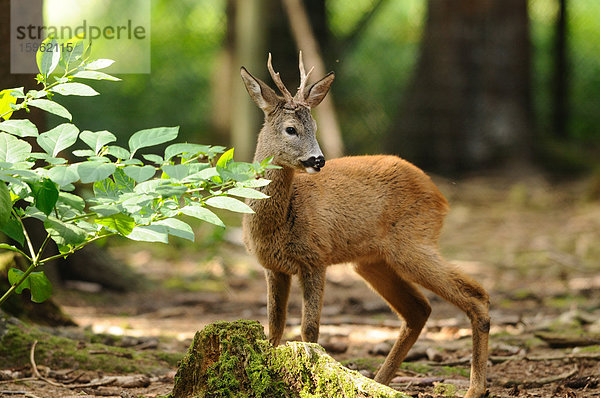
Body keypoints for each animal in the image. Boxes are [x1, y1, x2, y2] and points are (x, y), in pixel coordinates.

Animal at [238, 53, 488, 398]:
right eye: (291, 129)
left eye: (315, 127)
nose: (318, 160)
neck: (279, 220)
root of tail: (440, 195)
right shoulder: (273, 267)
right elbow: (273, 327)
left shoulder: (316, 257)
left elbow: (309, 329)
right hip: (372, 261)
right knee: (418, 309)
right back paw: (380, 381)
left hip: (412, 243)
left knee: (475, 294)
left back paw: (475, 388)